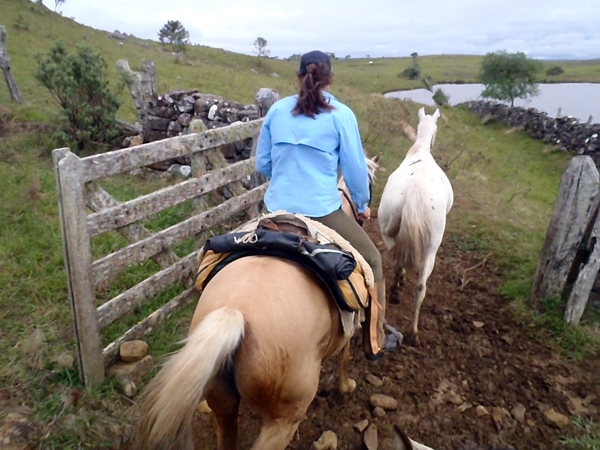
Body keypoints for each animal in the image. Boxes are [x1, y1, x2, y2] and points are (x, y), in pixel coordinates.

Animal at [129, 156, 434, 450]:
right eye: (369, 183)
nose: (365, 212)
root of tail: (234, 314)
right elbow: (345, 358)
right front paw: (347, 386)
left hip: (222, 404)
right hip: (283, 419)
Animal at [378, 107, 452, 342]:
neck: (419, 149)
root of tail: (413, 193)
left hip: (388, 233)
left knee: (403, 269)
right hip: (431, 248)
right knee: (419, 284)